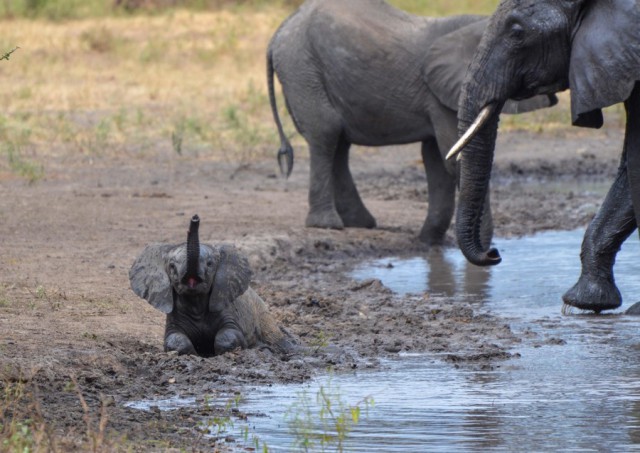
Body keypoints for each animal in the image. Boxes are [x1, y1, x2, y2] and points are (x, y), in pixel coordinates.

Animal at [128, 214, 298, 354]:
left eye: (210, 264)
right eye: (171, 266)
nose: (195, 218)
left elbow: (229, 335)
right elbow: (174, 339)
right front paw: (194, 353)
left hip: (264, 315)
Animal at [266, 0, 556, 245]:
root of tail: (283, 27)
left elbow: (437, 160)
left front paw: (429, 243)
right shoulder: (443, 95)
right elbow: (453, 160)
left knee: (339, 143)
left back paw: (361, 223)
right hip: (302, 67)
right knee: (326, 132)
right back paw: (327, 225)